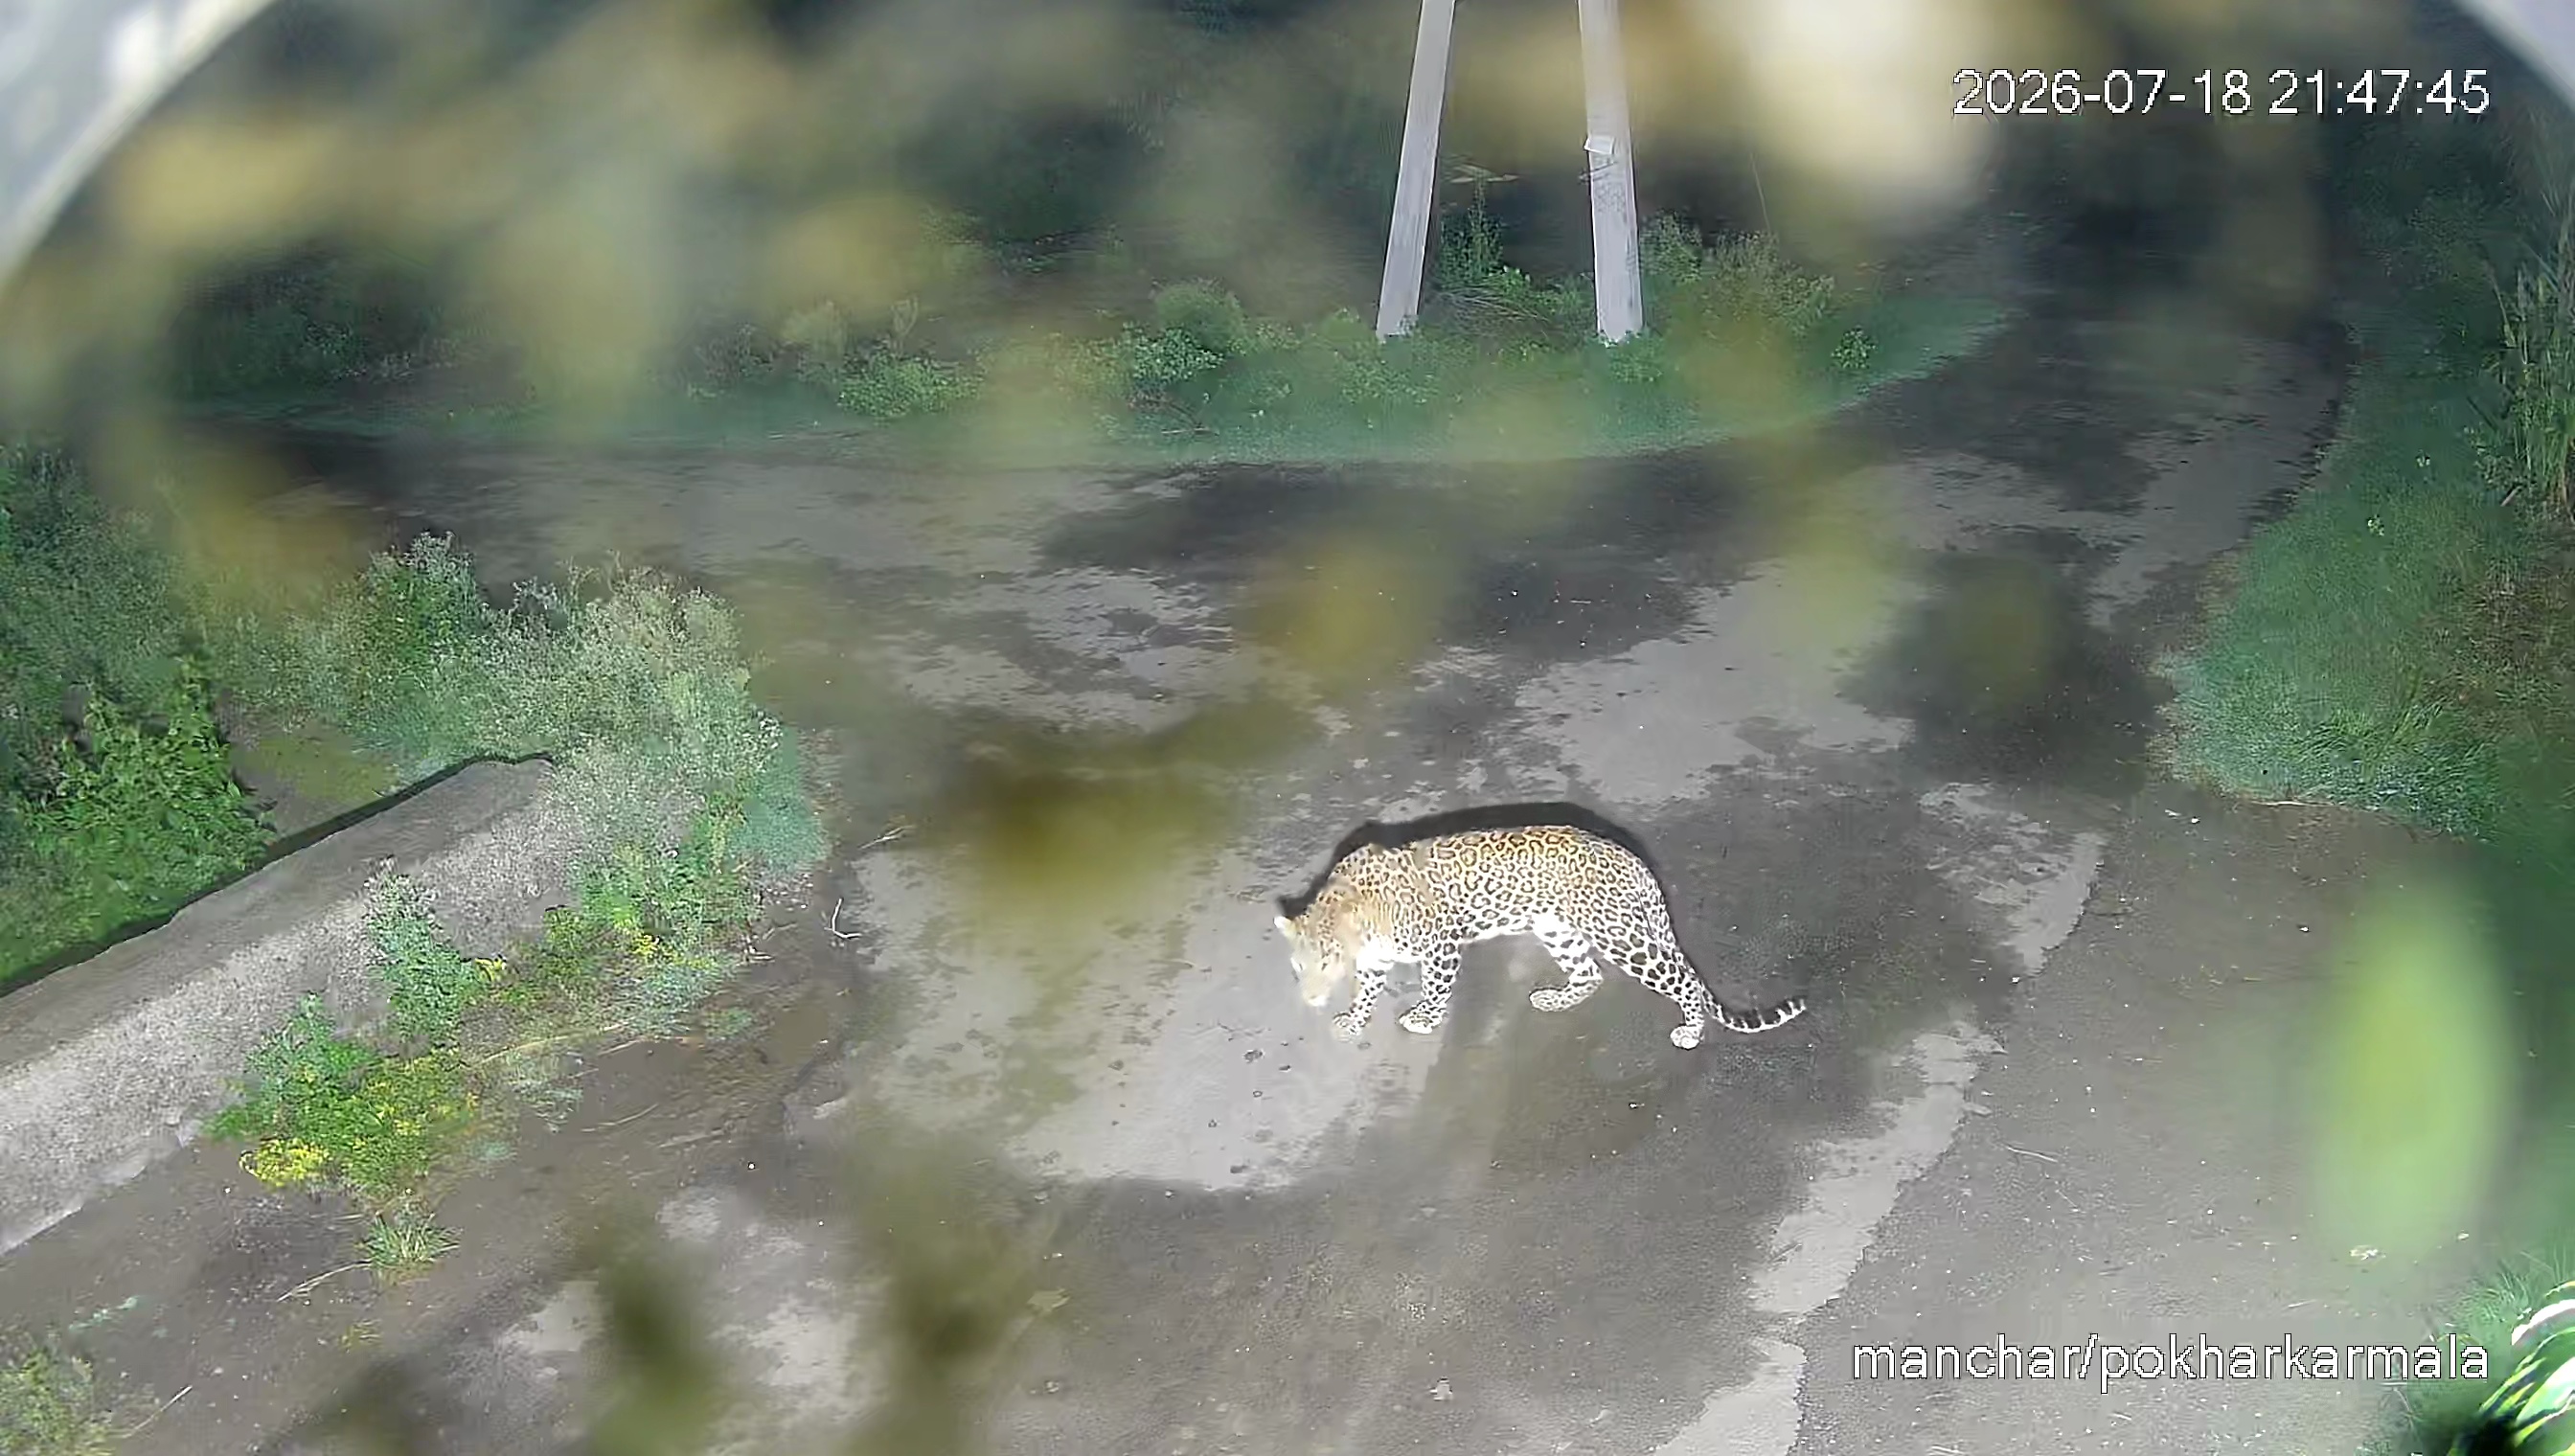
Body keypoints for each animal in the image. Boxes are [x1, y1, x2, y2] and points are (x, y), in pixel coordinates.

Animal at [1273, 822, 1809, 1049]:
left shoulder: (1440, 945)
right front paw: (1353, 1020)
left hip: (1622, 936)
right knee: (1589, 975)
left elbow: (1436, 988)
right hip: (1557, 928)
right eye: (1298, 967)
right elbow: (1367, 993)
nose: (1311, 1000)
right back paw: (1554, 999)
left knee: (1684, 979)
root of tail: (1633, 860)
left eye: (1327, 963)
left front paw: (1424, 1019)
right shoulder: (1376, 961)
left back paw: (1691, 1030)